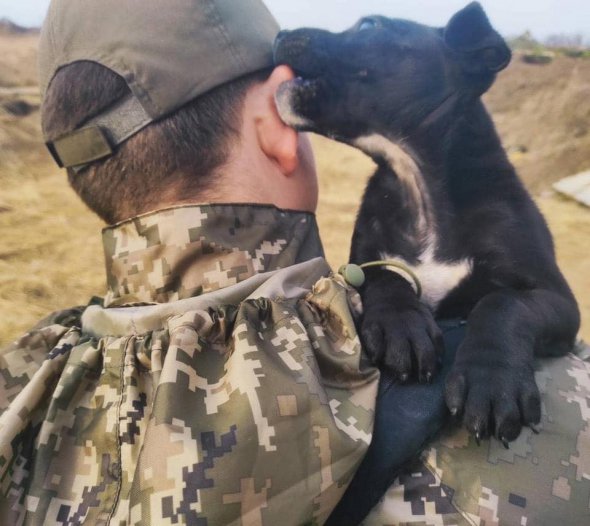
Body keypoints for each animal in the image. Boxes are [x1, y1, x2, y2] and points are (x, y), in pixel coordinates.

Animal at [276, 2, 580, 446]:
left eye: (369, 25)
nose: (280, 35)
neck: (418, 187)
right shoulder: (362, 263)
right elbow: (386, 276)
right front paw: (403, 325)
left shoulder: (557, 298)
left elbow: (503, 302)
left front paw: (490, 380)